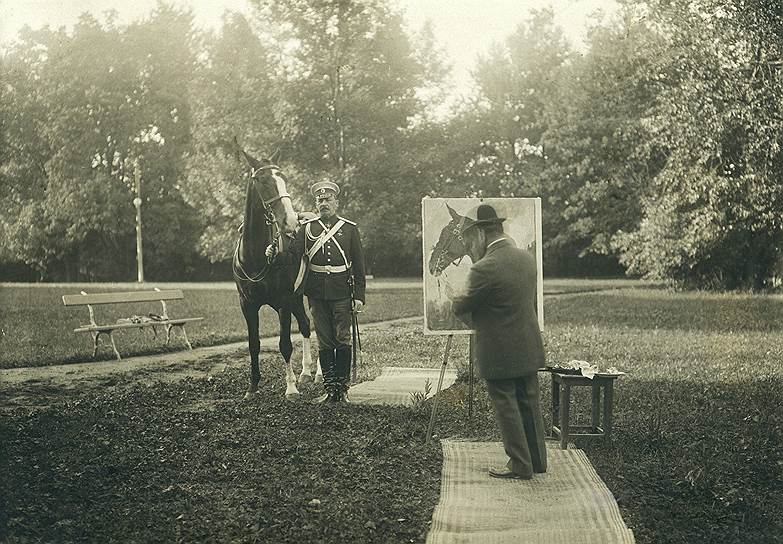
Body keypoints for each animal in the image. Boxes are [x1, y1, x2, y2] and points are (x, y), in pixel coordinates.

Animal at [233, 146, 322, 400]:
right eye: (262, 180)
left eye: (284, 179)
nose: (290, 221)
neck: (256, 256)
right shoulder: (247, 304)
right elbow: (254, 344)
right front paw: (252, 386)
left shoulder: (283, 301)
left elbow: (285, 344)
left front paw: (290, 387)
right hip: (296, 298)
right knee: (305, 325)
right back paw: (306, 372)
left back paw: (317, 373)